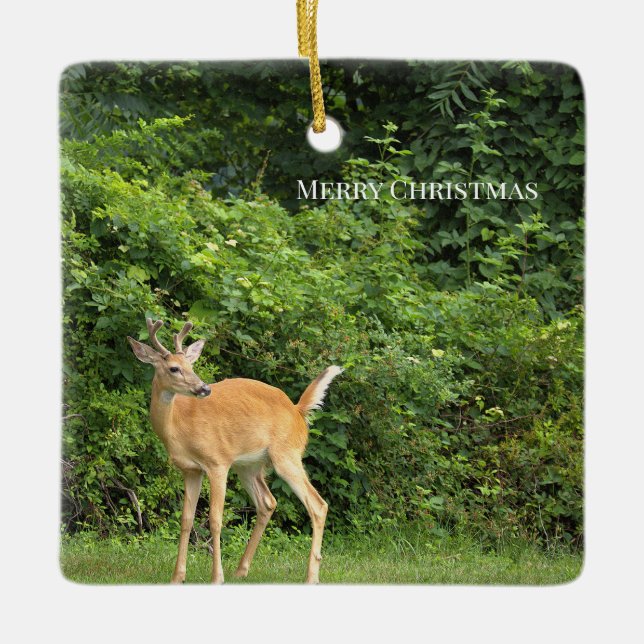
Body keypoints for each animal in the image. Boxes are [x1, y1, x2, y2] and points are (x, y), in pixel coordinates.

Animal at [127, 318, 343, 584]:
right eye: (174, 368)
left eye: (191, 365)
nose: (204, 388)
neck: (178, 426)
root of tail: (297, 410)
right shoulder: (190, 470)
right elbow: (186, 520)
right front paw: (177, 577)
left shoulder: (217, 462)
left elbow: (215, 520)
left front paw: (216, 577)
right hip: (249, 465)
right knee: (268, 502)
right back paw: (241, 570)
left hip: (286, 455)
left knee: (318, 505)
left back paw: (311, 577)